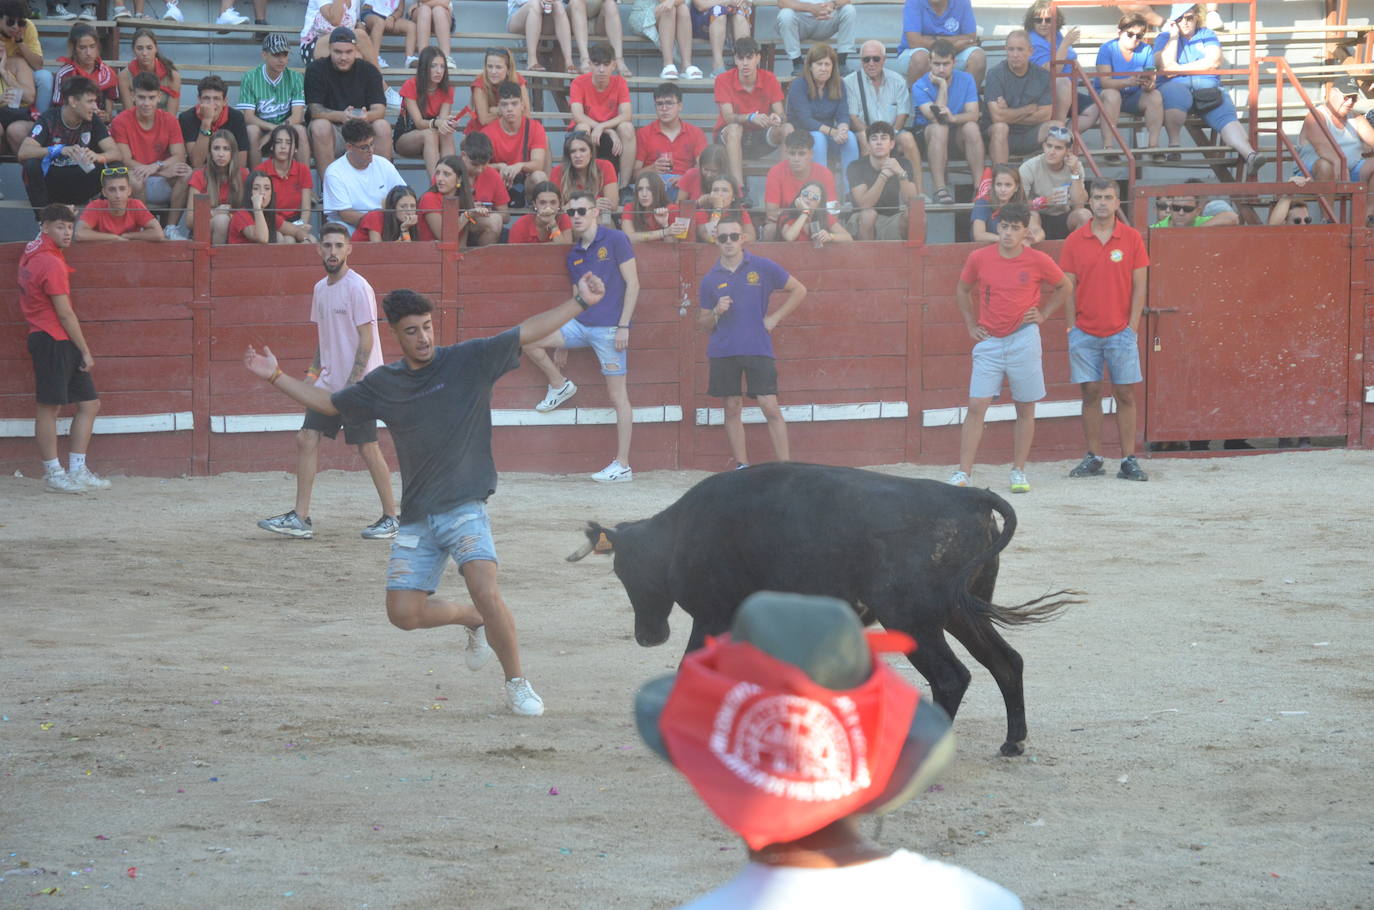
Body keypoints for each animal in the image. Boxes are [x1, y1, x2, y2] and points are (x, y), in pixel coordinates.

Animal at [563, 464, 1077, 753]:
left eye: (623, 571)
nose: (648, 636)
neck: (681, 534)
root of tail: (969, 495)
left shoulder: (712, 615)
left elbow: (695, 664)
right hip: (960, 611)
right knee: (1005, 661)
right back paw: (1013, 741)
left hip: (913, 619)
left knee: (952, 677)